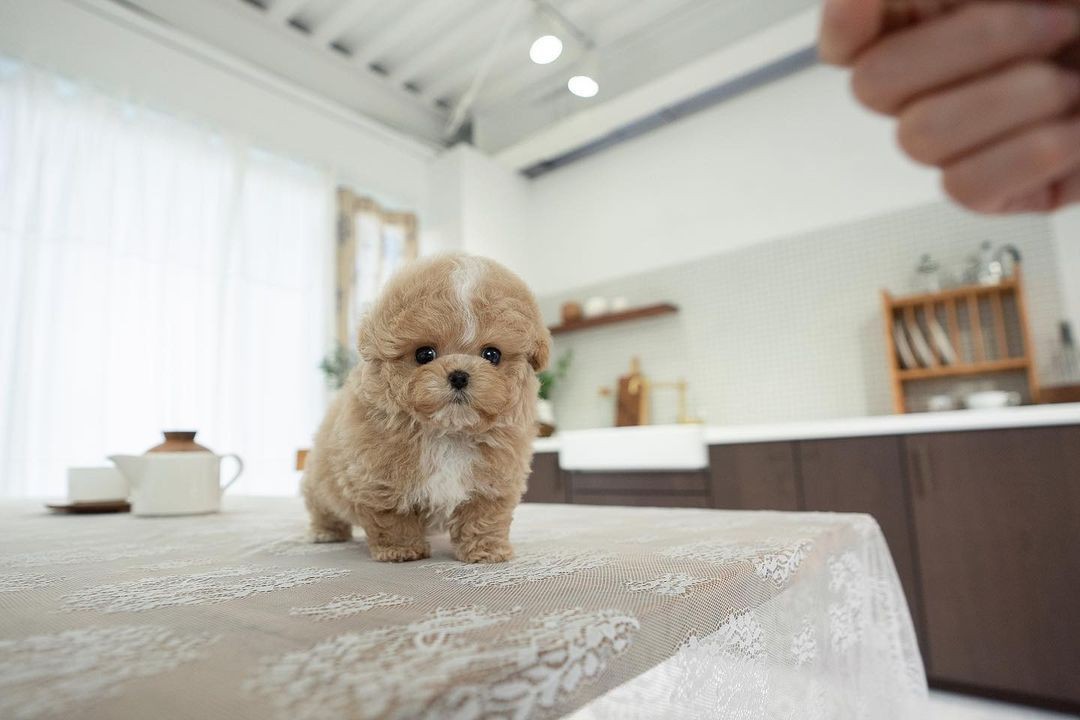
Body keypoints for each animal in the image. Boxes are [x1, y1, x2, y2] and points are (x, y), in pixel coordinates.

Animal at [304, 253, 552, 561]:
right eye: (424, 354)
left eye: (492, 355)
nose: (459, 375)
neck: (448, 432)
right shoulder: (380, 479)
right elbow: (393, 516)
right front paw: (401, 549)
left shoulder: (494, 481)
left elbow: (484, 515)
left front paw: (487, 550)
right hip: (321, 480)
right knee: (324, 507)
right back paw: (326, 532)